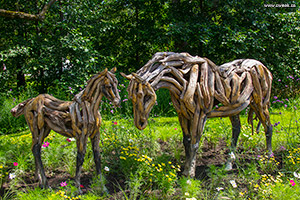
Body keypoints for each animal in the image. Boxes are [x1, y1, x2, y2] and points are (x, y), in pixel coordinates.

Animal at [121, 52, 272, 177]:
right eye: (130, 96)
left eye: (142, 94)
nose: (140, 123)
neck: (183, 80)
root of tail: (263, 67)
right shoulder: (183, 114)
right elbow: (186, 142)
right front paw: (185, 170)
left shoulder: (200, 114)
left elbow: (195, 143)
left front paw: (190, 175)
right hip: (233, 108)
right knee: (237, 130)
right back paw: (228, 164)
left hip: (259, 103)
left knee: (268, 127)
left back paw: (269, 158)